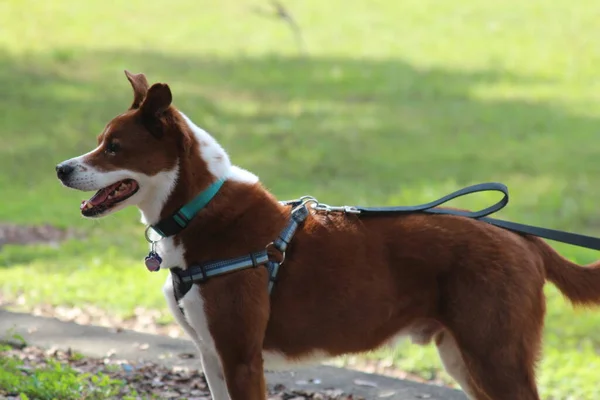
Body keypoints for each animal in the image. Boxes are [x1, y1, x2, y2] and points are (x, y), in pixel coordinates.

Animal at [56, 72, 600, 400]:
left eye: (114, 147)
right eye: (100, 142)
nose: (61, 168)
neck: (199, 208)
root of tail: (523, 239)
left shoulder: (241, 356)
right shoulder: (211, 355)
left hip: (495, 355)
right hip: (465, 357)